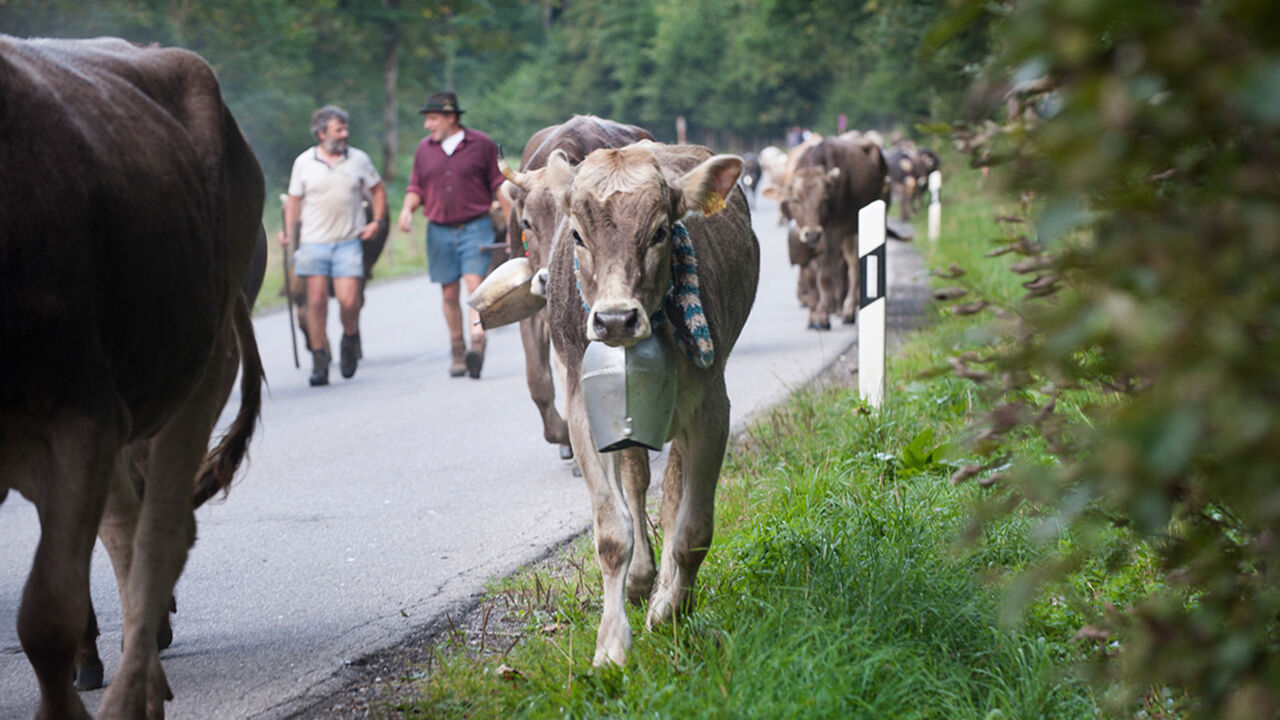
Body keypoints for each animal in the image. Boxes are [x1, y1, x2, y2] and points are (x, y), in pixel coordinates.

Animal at [0, 37, 262, 717]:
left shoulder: (80, 418)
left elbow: (46, 613)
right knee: (124, 529)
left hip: (198, 374)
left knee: (159, 530)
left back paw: (134, 681)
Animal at [496, 114, 655, 456]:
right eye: (526, 222)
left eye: (573, 223)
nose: (546, 278)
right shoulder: (536, 308)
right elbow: (537, 380)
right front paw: (561, 435)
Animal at [542, 142, 757, 666]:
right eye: (577, 234)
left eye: (660, 231)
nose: (616, 319)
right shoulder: (583, 411)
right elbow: (612, 532)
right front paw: (611, 645)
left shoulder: (712, 407)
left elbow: (694, 529)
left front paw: (672, 608)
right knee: (639, 479)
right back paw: (641, 581)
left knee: (674, 483)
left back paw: (662, 592)